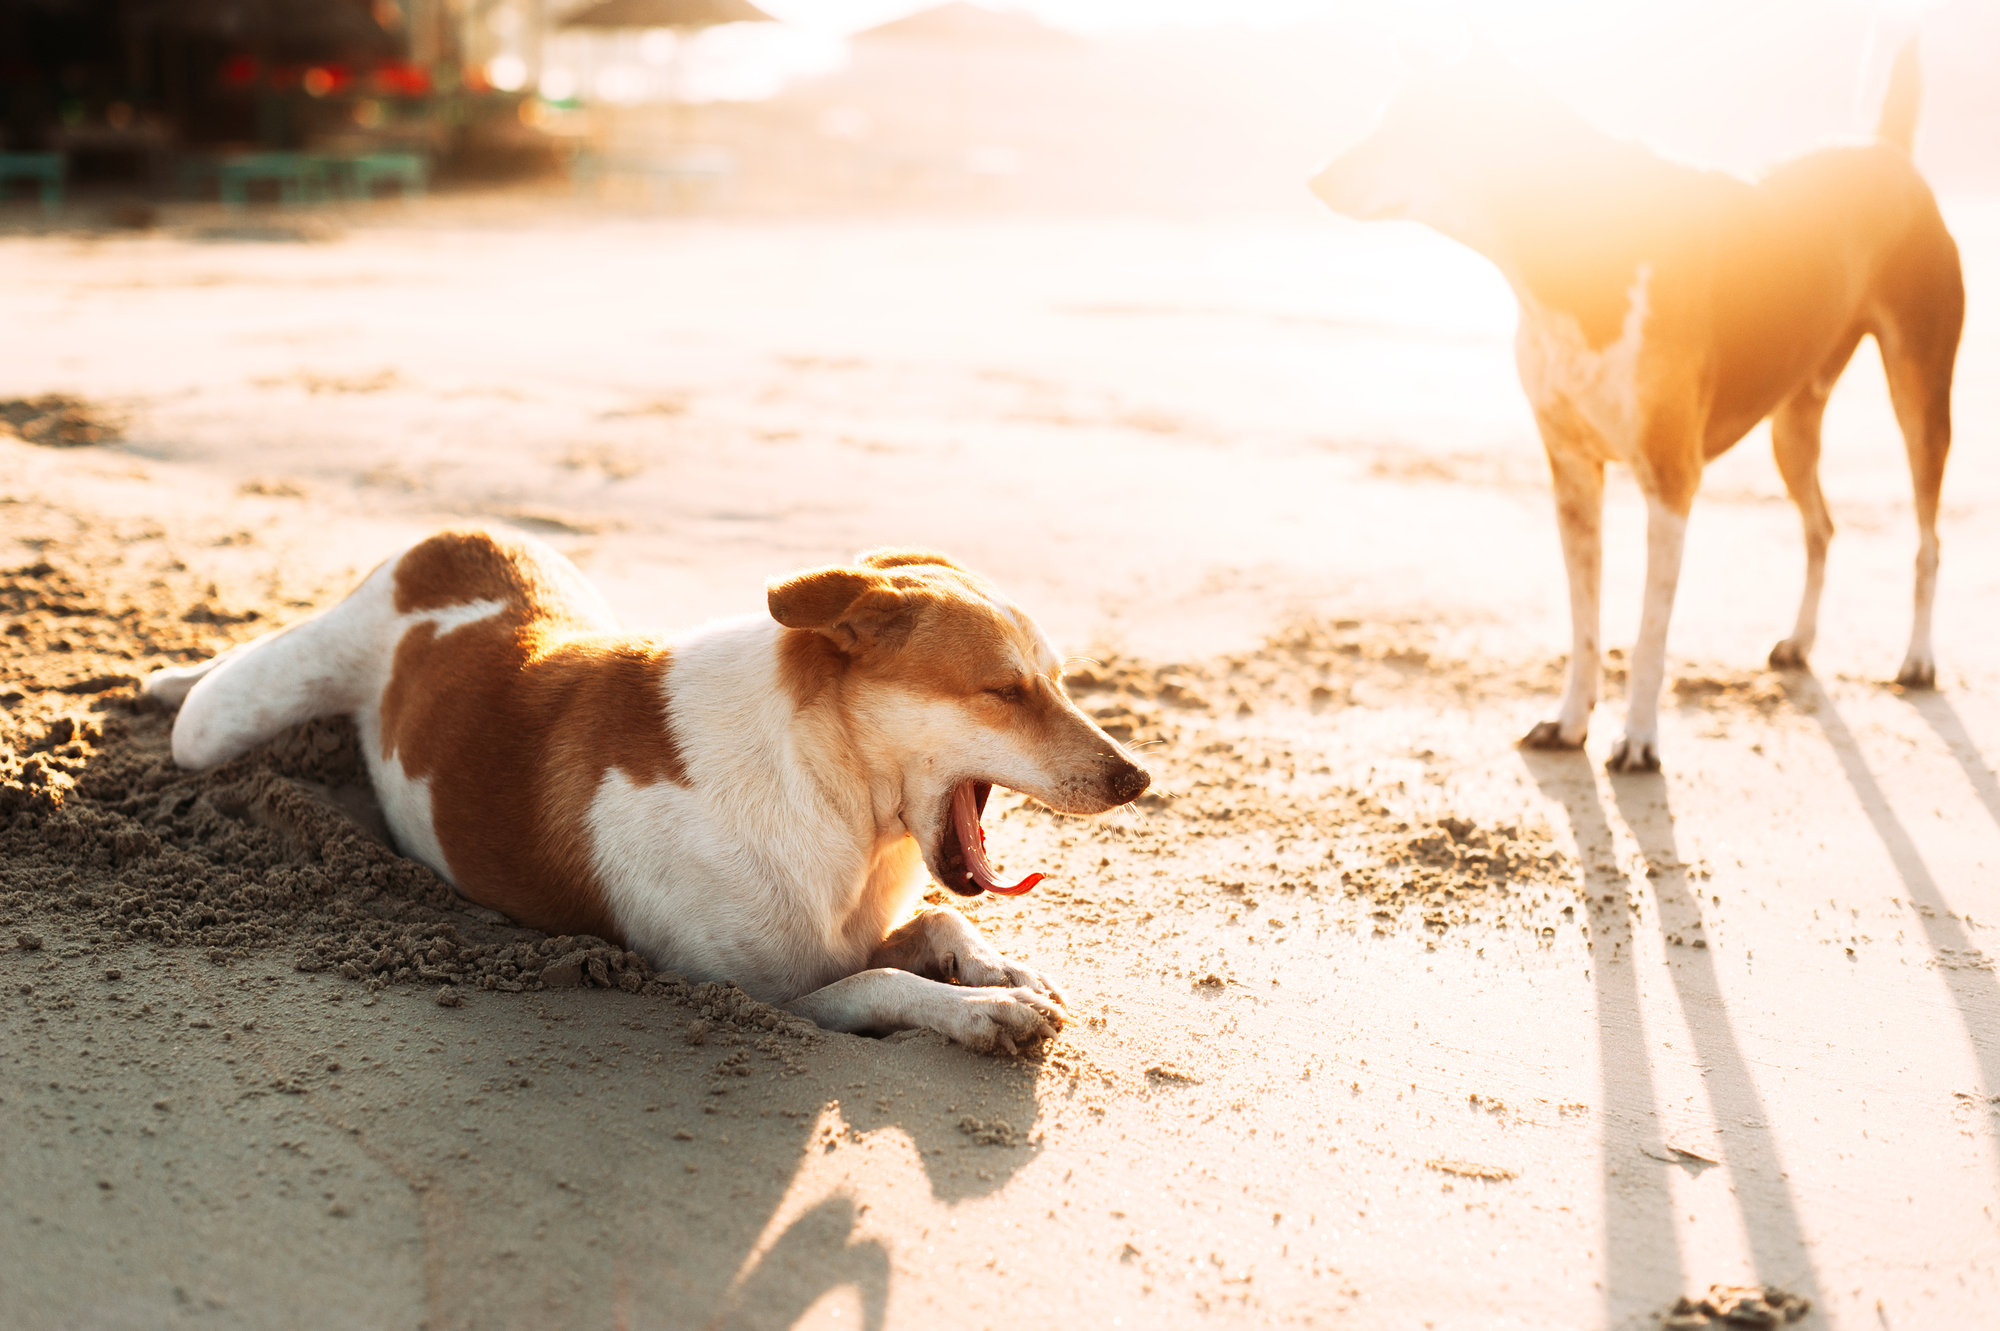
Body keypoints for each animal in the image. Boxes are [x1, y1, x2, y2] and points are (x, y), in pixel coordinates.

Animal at [148, 527, 1152, 1047]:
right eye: (1005, 691)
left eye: (1058, 680)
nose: (1138, 776)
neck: (827, 791)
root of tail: (457, 534)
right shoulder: (761, 995)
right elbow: (881, 983)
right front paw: (980, 1009)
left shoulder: (856, 928)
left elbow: (941, 921)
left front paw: (997, 966)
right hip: (222, 727)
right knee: (210, 697)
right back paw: (169, 681)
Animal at [1304, 41, 1960, 767]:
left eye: (1412, 125)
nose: (1315, 179)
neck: (1564, 256)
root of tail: (1886, 149)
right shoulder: (1570, 473)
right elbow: (1584, 620)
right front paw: (1569, 723)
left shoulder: (1671, 481)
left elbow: (1649, 631)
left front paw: (1640, 738)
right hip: (1792, 425)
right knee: (1821, 526)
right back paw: (1800, 641)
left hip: (1920, 393)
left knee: (1927, 538)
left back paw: (1918, 659)